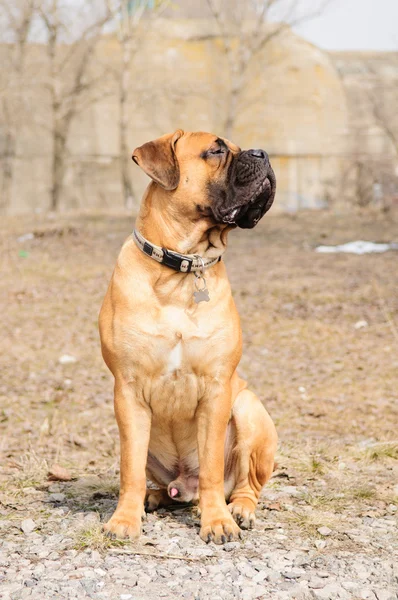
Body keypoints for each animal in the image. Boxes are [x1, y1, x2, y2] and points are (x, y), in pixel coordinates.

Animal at [99, 130, 276, 544]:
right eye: (216, 150)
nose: (263, 153)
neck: (182, 268)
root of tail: (185, 485)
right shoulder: (128, 392)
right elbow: (129, 468)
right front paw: (124, 519)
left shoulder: (216, 389)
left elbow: (211, 466)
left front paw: (218, 522)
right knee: (159, 483)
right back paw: (152, 498)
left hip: (248, 410)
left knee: (247, 484)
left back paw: (239, 509)